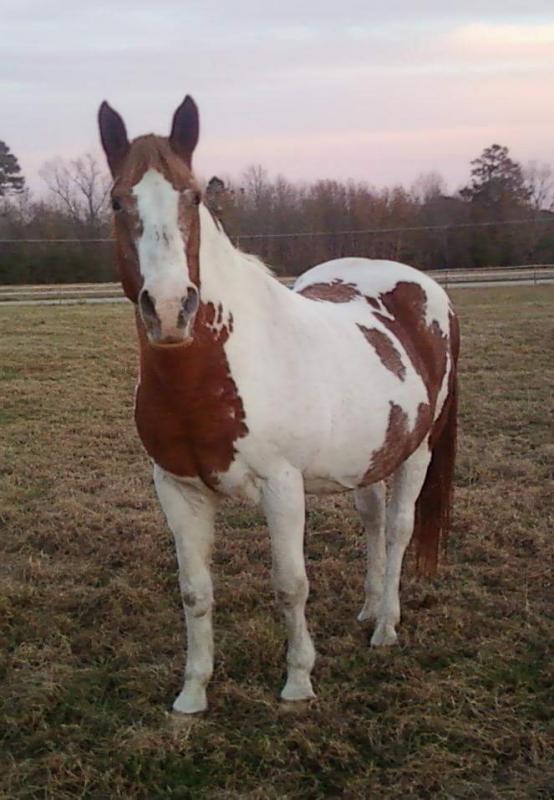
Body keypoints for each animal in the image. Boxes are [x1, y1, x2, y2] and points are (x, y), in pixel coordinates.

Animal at [98, 97, 458, 716]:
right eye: (119, 201)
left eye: (194, 196)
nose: (169, 310)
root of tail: (423, 288)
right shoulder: (177, 489)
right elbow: (194, 591)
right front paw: (192, 694)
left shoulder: (282, 486)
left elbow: (290, 585)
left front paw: (297, 682)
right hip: (368, 455)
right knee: (371, 521)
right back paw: (368, 608)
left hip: (416, 453)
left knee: (399, 529)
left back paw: (386, 625)